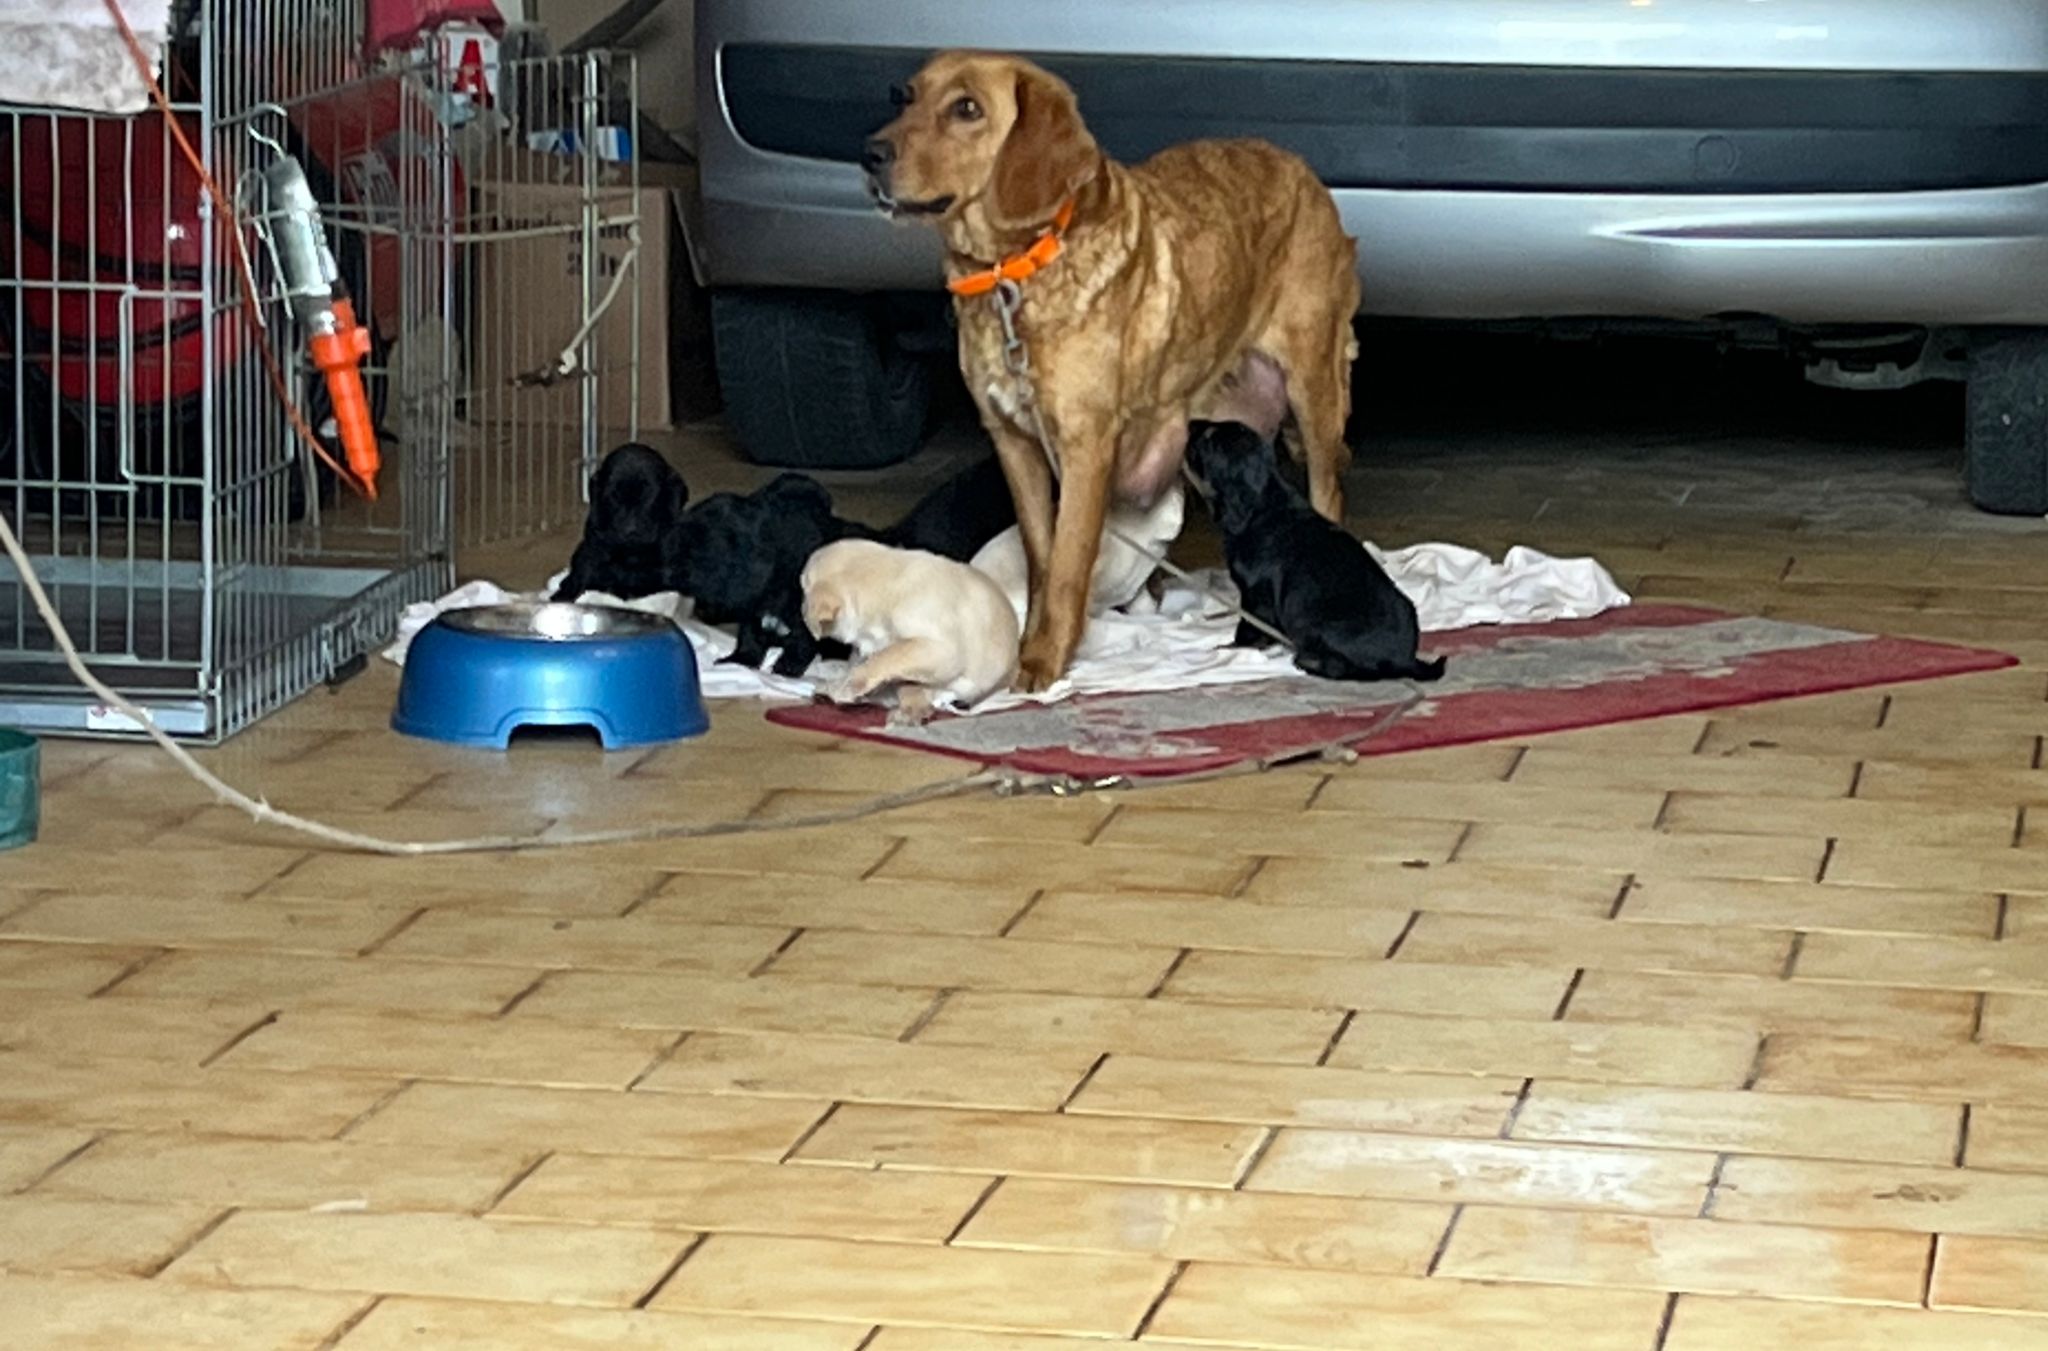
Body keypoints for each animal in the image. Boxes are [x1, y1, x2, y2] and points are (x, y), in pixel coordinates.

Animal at [553, 443, 689, 602]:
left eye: (649, 495)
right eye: (613, 496)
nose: (630, 530)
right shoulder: (594, 546)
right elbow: (583, 571)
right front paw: (562, 595)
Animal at [802, 538, 1020, 724]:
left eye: (804, 589)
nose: (802, 608)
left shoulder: (940, 650)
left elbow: (886, 657)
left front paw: (853, 684)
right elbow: (903, 678)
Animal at [1186, 421, 1444, 684]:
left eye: (1209, 437)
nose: (1191, 422)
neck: (1261, 502)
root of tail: (1407, 660)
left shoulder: (1255, 596)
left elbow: (1247, 628)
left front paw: (1231, 649)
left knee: (1347, 669)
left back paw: (1309, 662)